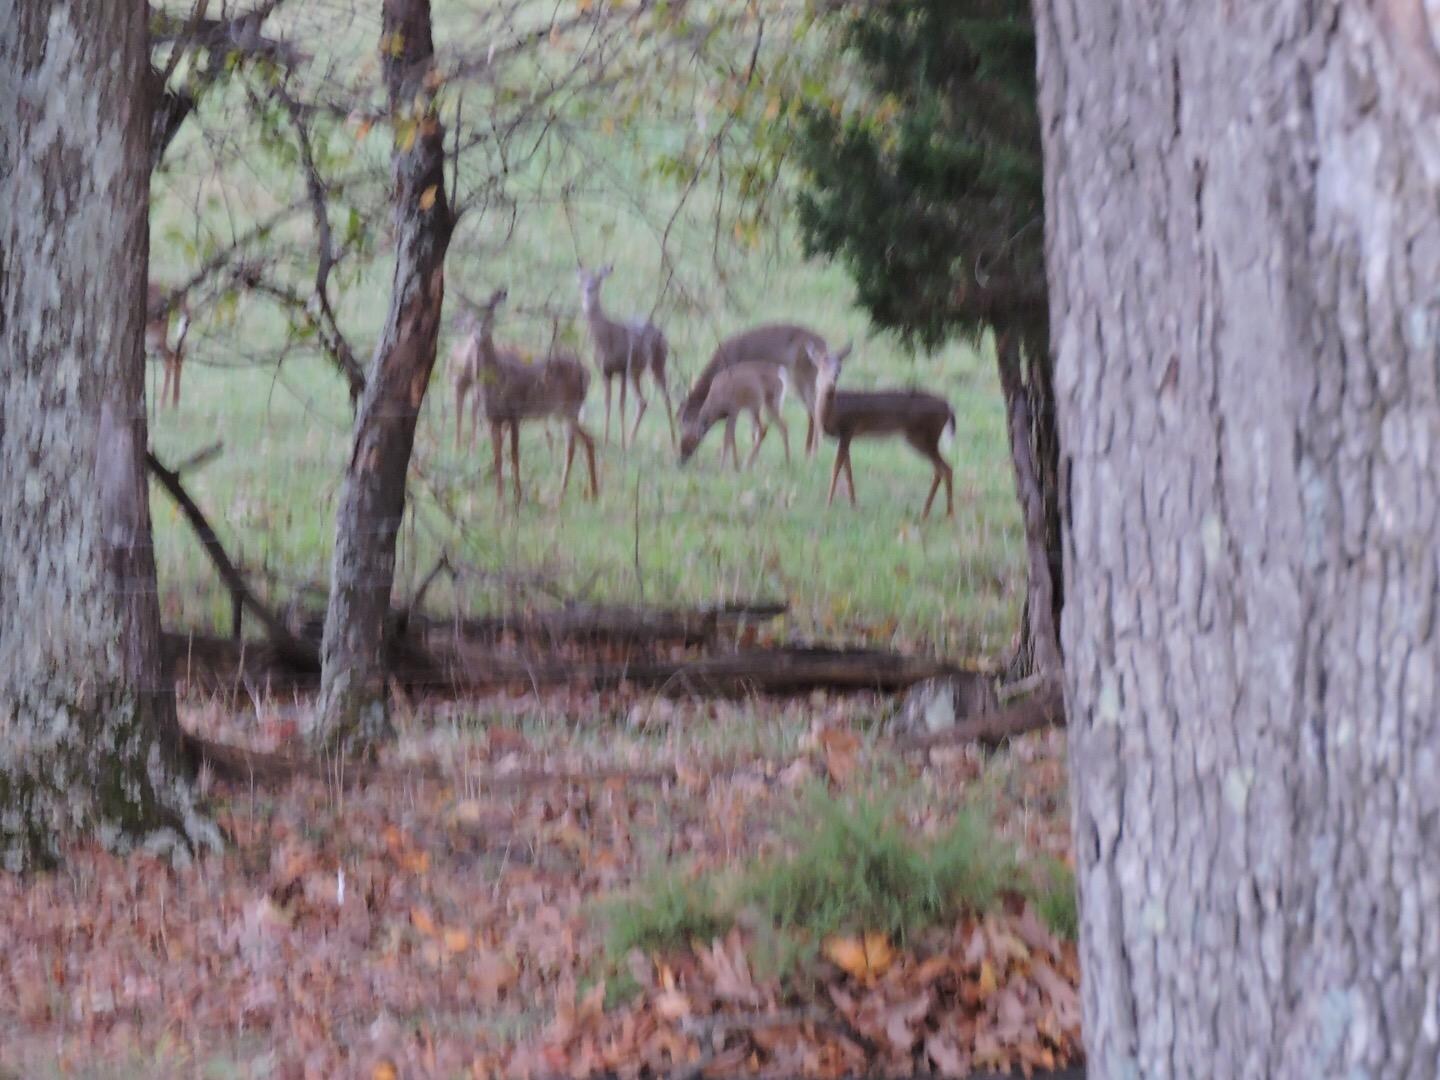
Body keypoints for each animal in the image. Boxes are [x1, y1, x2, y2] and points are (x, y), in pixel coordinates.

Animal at [457, 289, 598, 505]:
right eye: (471, 317)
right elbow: (498, 458)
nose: (479, 331)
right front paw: (500, 500)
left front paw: (517, 497)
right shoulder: (493, 418)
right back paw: (578, 494)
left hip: (569, 407)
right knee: (580, 442)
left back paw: (578, 495)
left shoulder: (515, 413)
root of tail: (587, 373)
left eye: (490, 315)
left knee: (581, 443)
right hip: (562, 413)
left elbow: (515, 456)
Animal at [577, 264, 676, 447]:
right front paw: (607, 440)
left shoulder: (622, 367)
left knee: (666, 397)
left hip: (657, 362)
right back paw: (631, 441)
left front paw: (620, 443)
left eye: (597, 282)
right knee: (642, 401)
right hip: (636, 372)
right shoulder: (604, 371)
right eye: (582, 283)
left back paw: (673, 442)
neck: (606, 339)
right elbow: (608, 403)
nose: (588, 290)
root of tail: (662, 334)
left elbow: (621, 404)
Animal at [679, 324, 827, 459]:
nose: (683, 455)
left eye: (685, 422)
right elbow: (753, 429)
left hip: (802, 379)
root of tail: (824, 345)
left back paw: (812, 453)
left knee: (814, 411)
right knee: (812, 411)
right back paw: (809, 451)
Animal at [808, 342, 956, 519]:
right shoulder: (846, 436)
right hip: (924, 437)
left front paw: (828, 505)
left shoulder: (848, 428)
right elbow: (847, 470)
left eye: (840, 367)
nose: (833, 378)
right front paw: (853, 505)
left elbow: (836, 468)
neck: (833, 411)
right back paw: (931, 512)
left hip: (923, 436)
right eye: (822, 365)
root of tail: (948, 407)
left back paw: (945, 514)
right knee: (942, 469)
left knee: (945, 468)